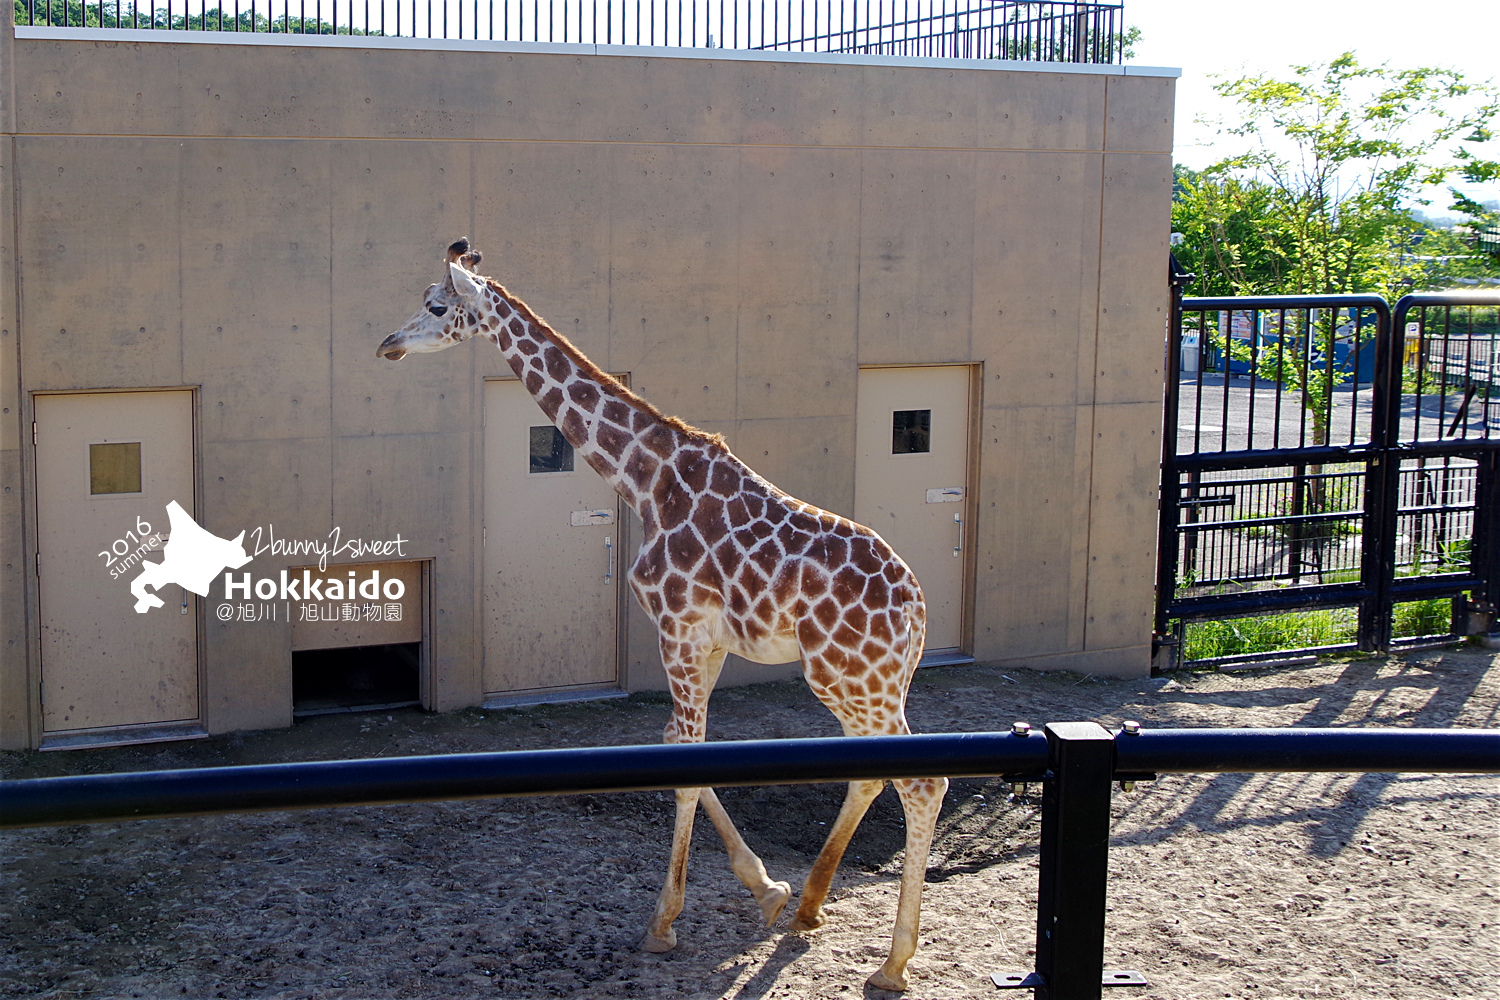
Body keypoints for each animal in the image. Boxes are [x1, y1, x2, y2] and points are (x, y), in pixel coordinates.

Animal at [375, 236, 948, 995]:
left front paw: (663, 925)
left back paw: (893, 961)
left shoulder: (675, 627)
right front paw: (766, 890)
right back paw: (810, 907)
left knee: (923, 781)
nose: (387, 344)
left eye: (437, 305)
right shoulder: (707, 641)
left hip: (848, 677)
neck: (647, 482)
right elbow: (680, 744)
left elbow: (683, 758)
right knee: (874, 770)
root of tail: (917, 608)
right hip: (865, 681)